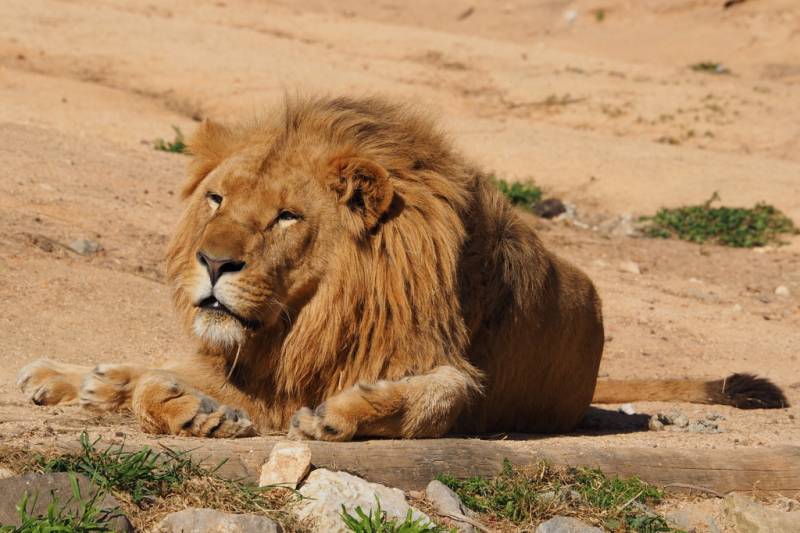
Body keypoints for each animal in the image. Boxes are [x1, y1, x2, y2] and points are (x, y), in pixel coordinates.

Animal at [14, 94, 788, 436]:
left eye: (287, 216)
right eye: (216, 198)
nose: (211, 261)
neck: (309, 318)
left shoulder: (450, 370)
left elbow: (438, 397)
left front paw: (350, 413)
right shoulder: (258, 364)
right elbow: (163, 375)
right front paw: (164, 400)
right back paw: (72, 376)